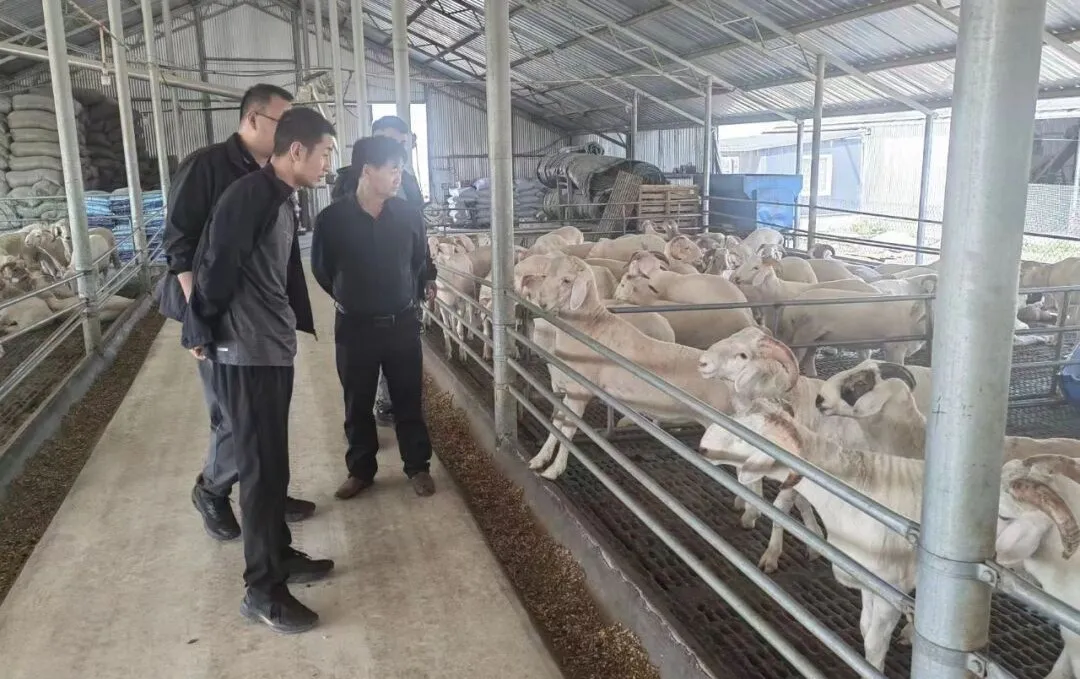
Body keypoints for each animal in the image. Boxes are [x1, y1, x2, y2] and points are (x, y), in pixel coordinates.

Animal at [514, 253, 734, 480]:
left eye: (567, 280)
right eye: (547, 274)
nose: (542, 302)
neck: (589, 326)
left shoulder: (580, 391)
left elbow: (568, 429)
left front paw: (554, 470)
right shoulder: (569, 388)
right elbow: (557, 423)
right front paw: (540, 459)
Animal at [698, 400, 925, 671]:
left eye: (743, 438)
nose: (702, 446)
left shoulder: (890, 592)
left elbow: (874, 646)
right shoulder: (868, 583)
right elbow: (863, 628)